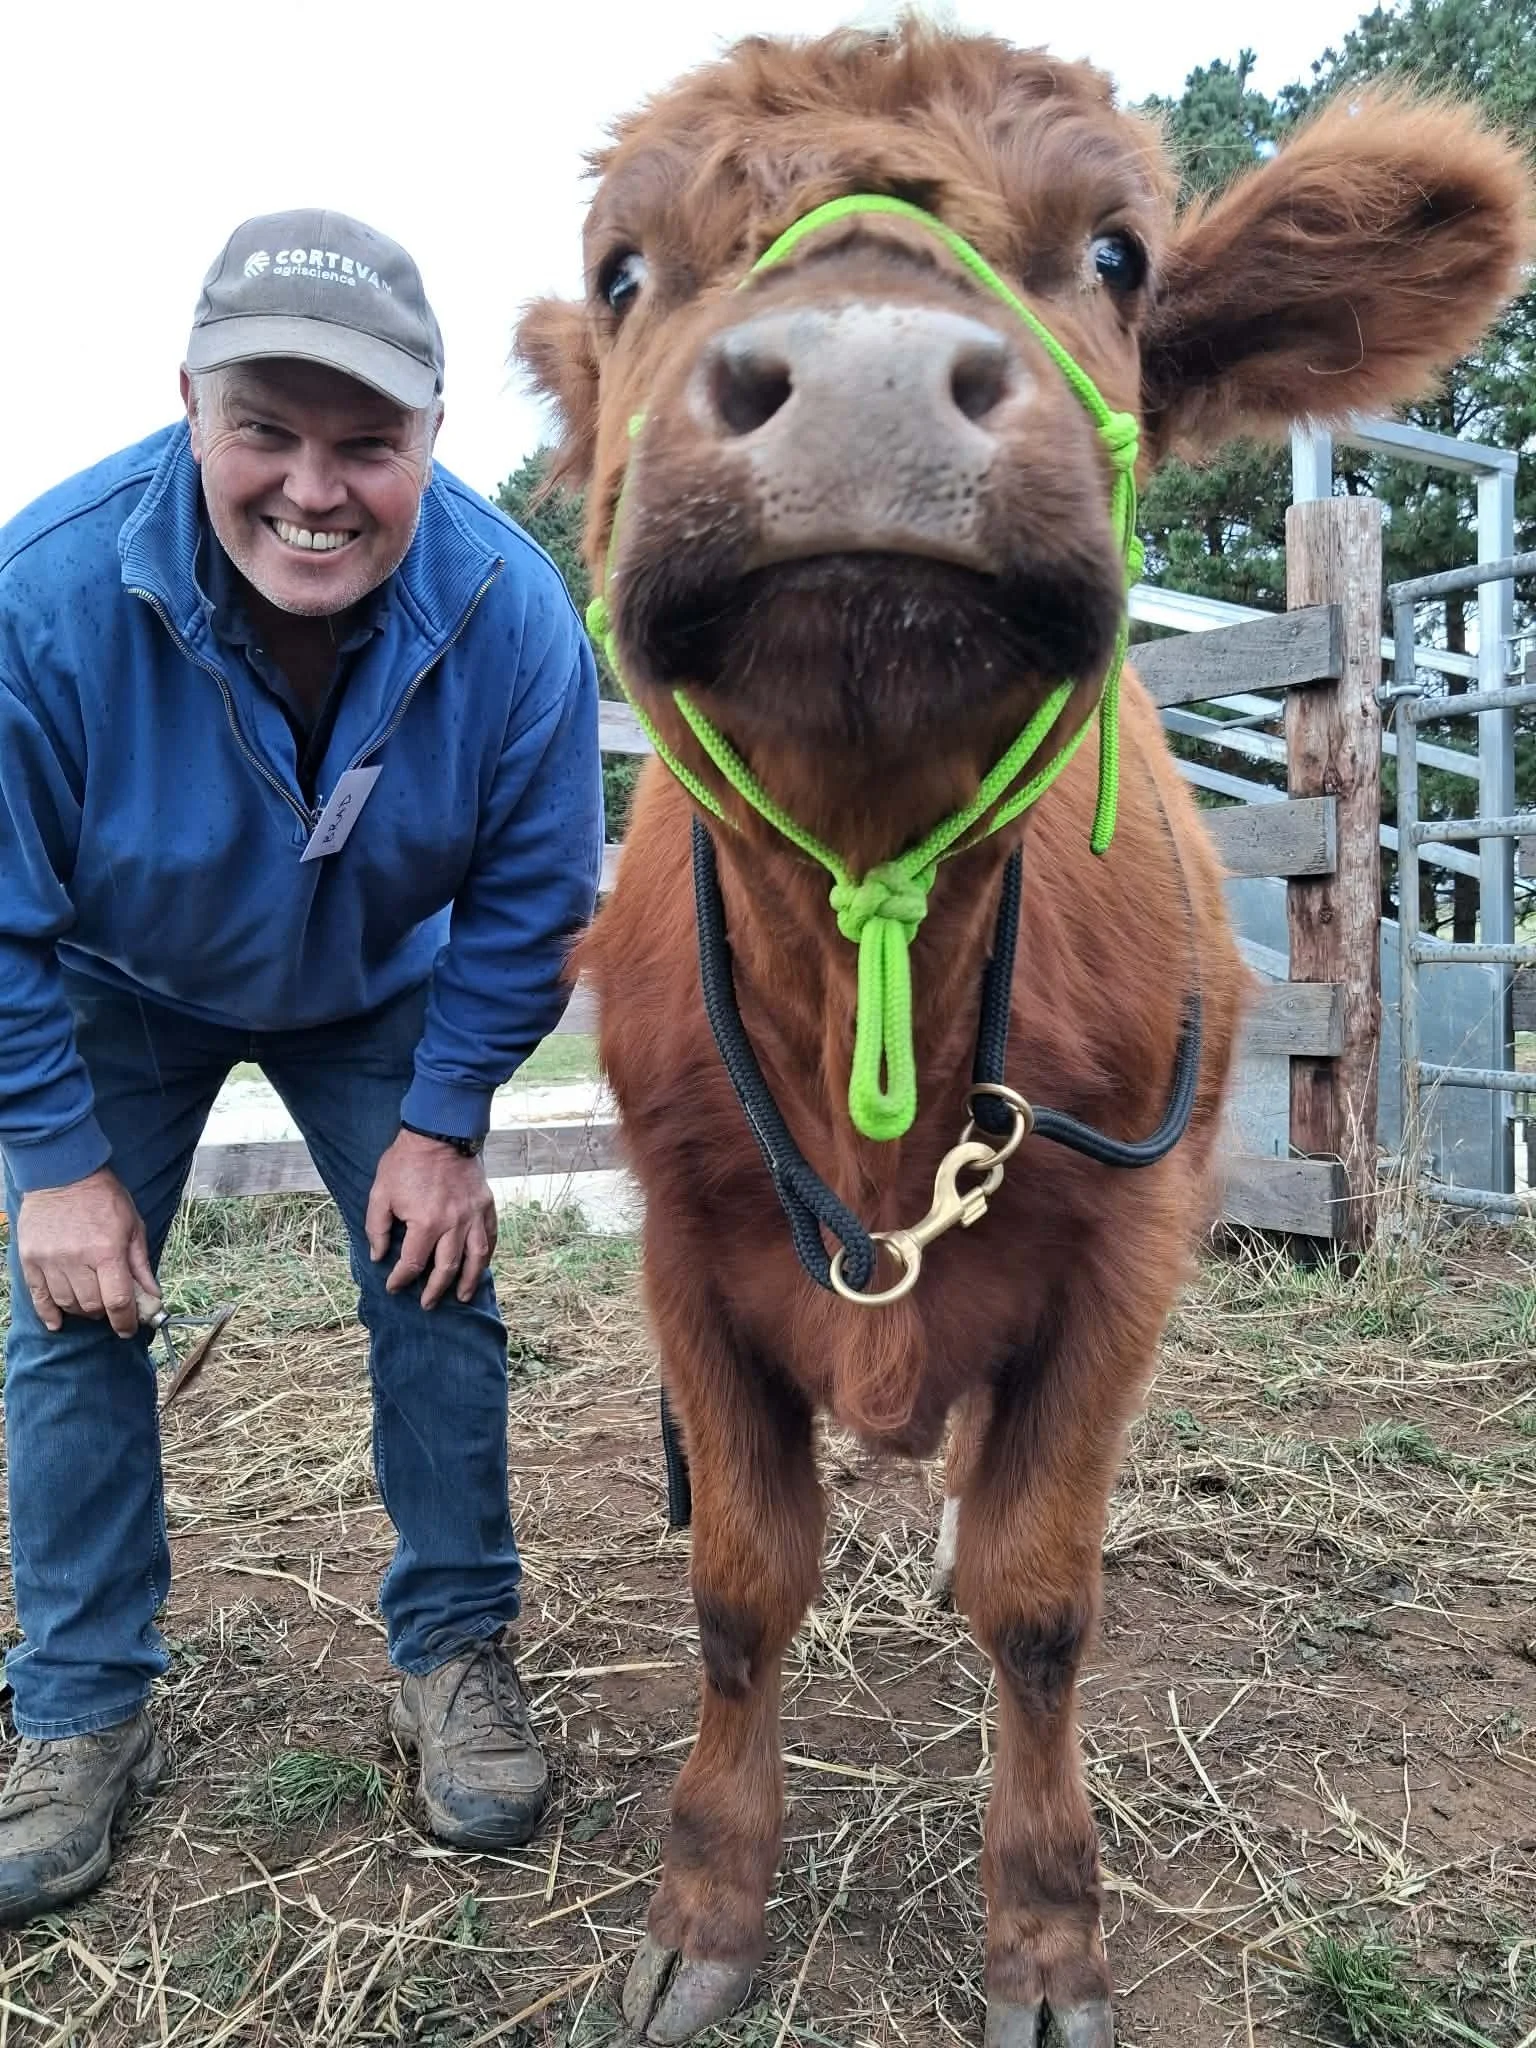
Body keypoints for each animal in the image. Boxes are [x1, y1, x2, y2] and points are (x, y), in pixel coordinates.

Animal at [516, 24, 1531, 2044]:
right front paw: (704, 1904)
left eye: (1120, 254)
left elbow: (1039, 1594)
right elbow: (739, 1583)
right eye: (621, 267)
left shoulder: (1130, 1248)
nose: (862, 378)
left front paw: (1048, 1928)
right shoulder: (683, 1247)